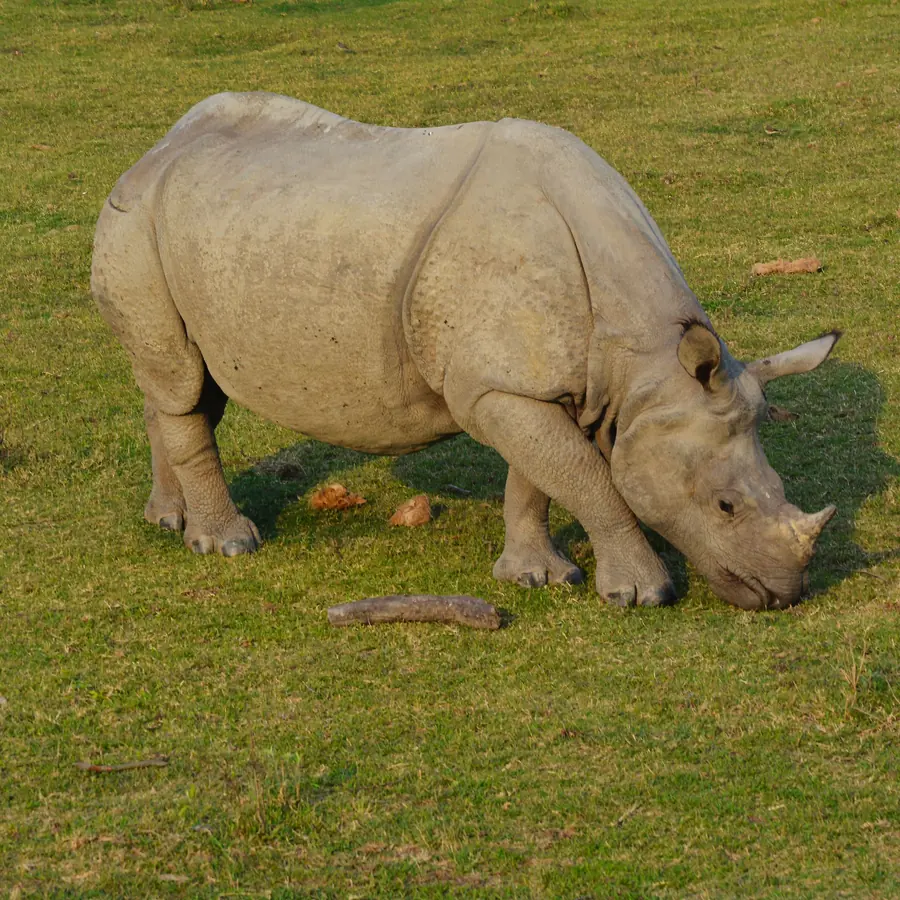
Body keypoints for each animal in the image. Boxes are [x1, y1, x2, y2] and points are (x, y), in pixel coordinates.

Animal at [92, 92, 839, 611]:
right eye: (725, 507)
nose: (783, 594)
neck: (645, 369)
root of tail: (157, 149)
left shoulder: (529, 383)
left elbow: (539, 475)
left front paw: (537, 577)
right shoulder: (501, 386)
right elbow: (585, 475)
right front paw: (641, 595)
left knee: (185, 384)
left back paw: (167, 521)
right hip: (135, 223)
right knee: (182, 382)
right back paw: (229, 545)